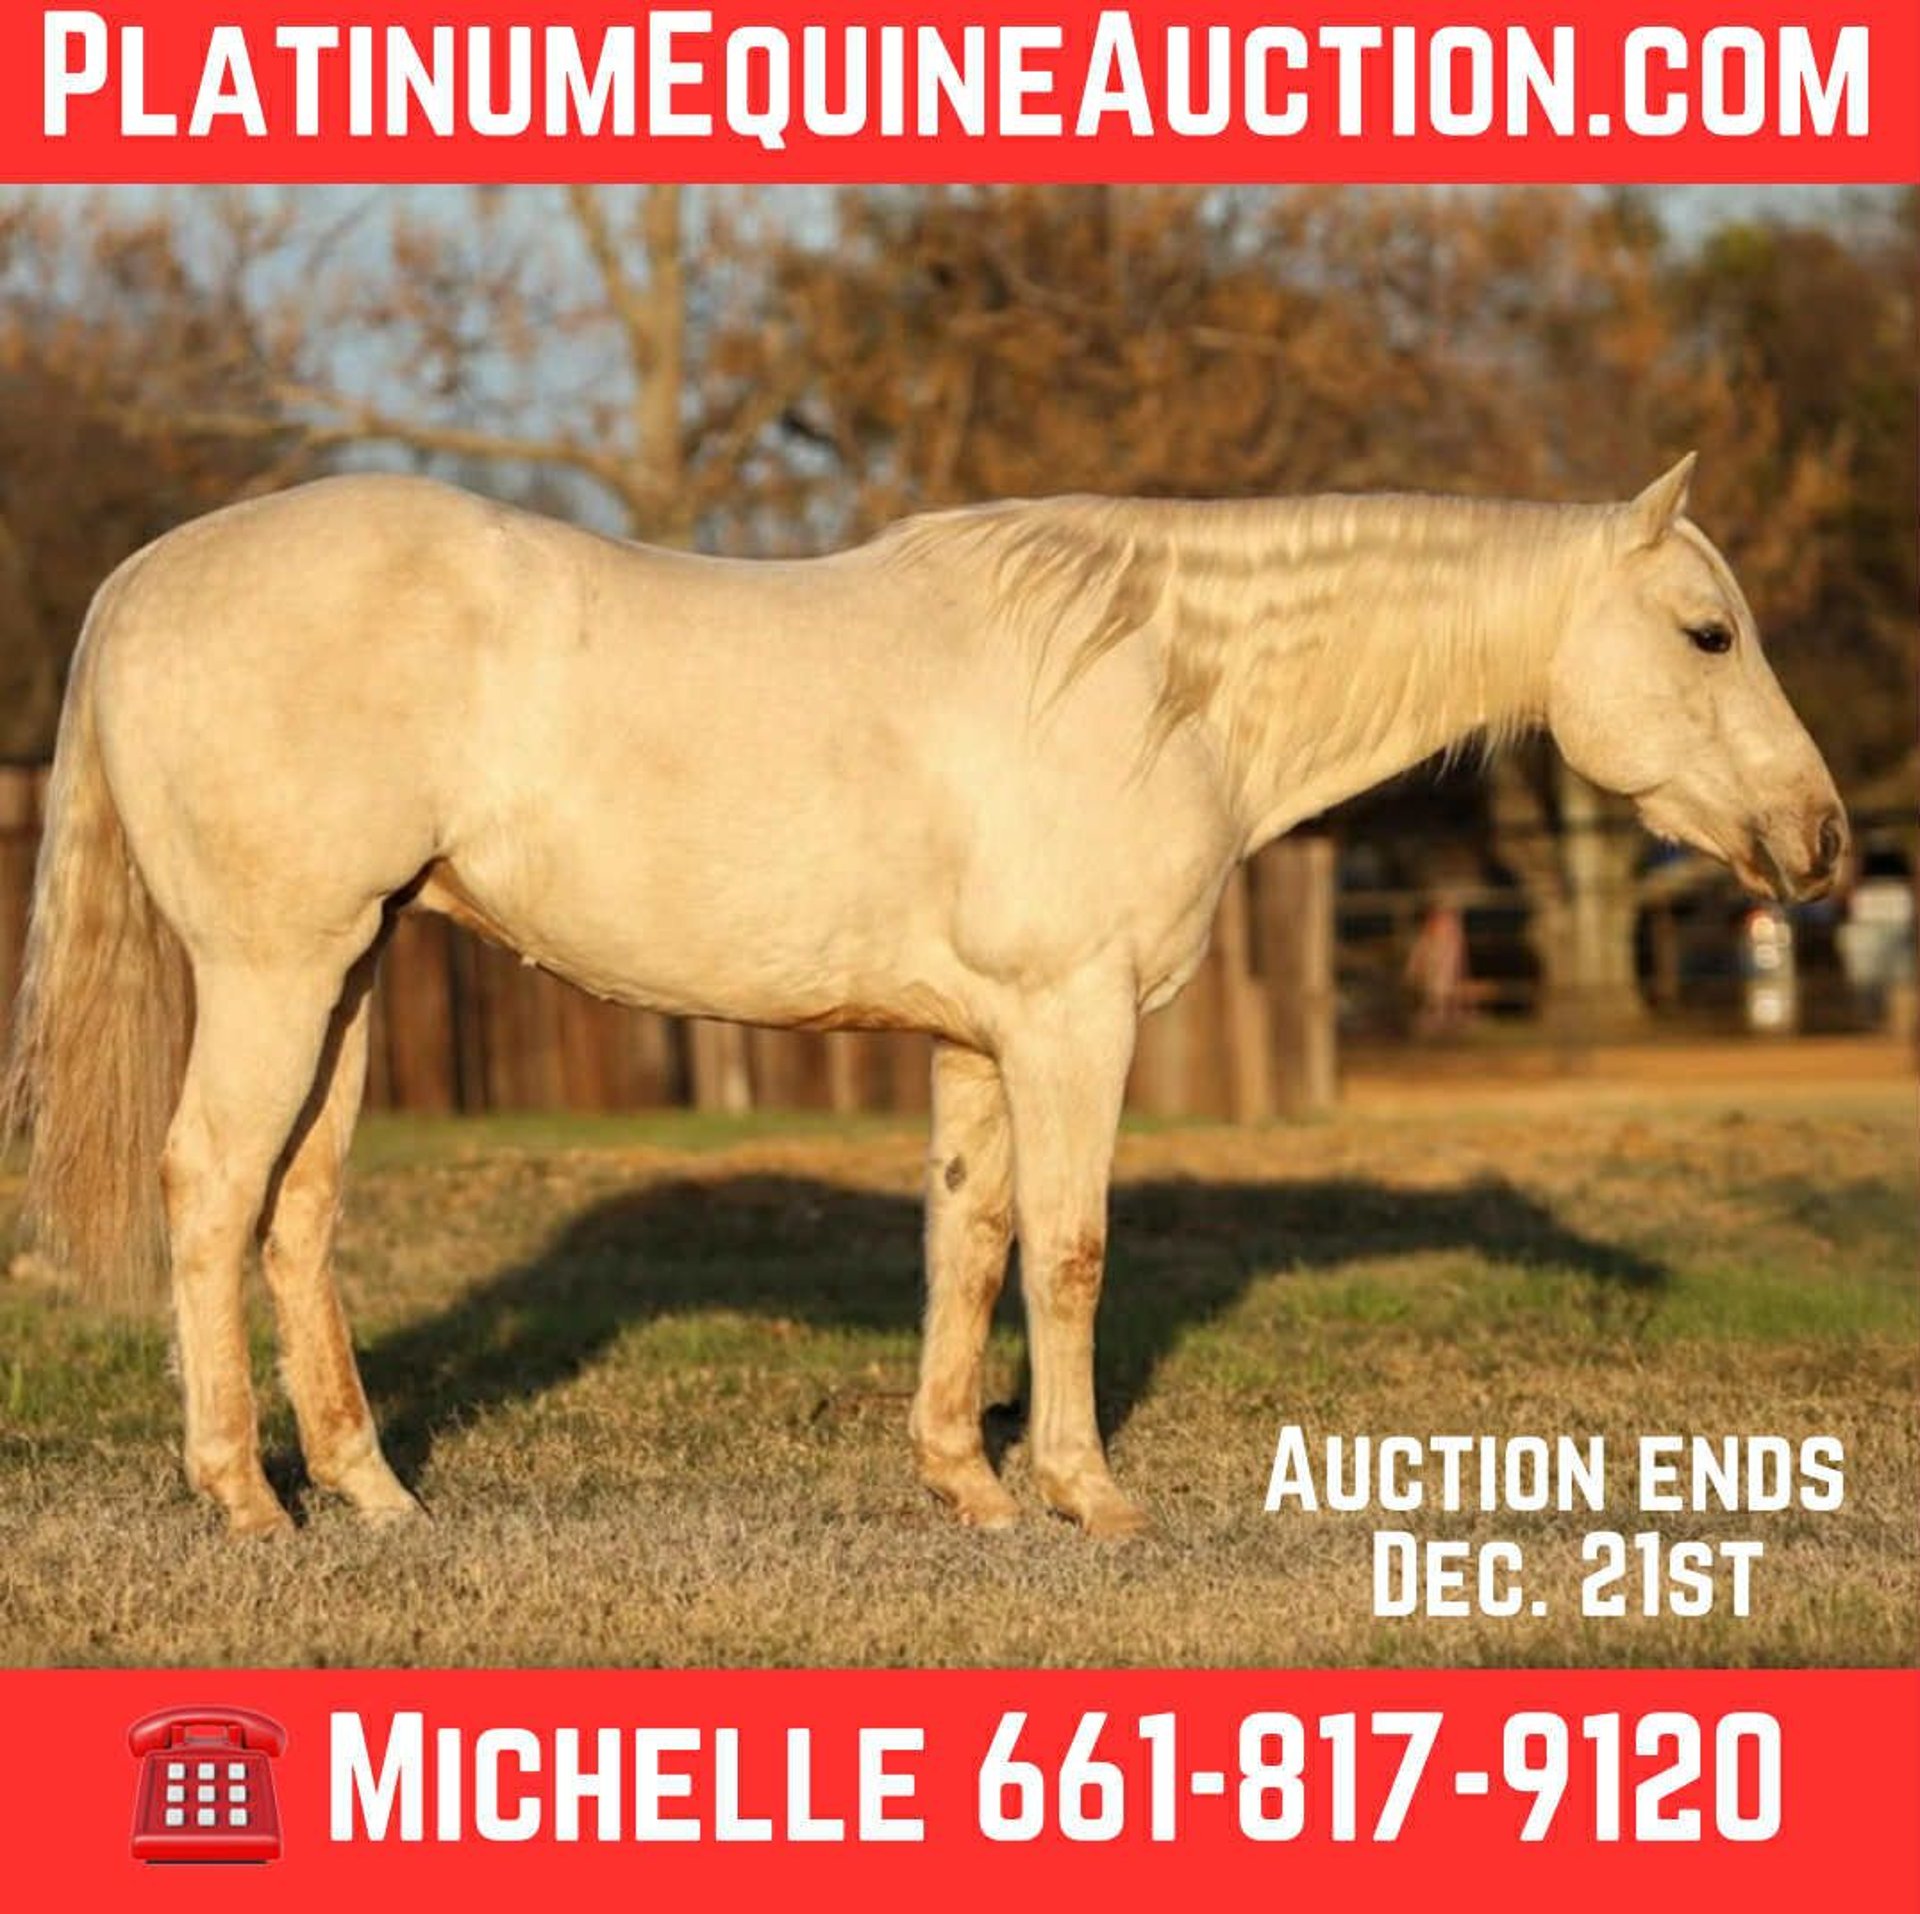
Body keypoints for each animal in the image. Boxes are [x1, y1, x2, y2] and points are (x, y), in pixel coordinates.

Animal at [1, 453, 1846, 1539]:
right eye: (1706, 631)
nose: (1820, 837)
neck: (1157, 677)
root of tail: (142, 579)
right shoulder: (1072, 1019)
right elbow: (1073, 1248)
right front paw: (1090, 1494)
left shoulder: (980, 1040)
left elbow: (971, 1237)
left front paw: (969, 1479)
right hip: (278, 968)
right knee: (209, 1187)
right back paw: (245, 1497)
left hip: (354, 968)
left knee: (298, 1210)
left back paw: (374, 1492)